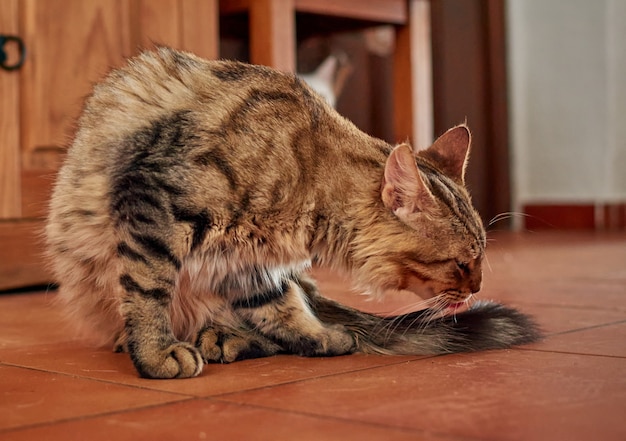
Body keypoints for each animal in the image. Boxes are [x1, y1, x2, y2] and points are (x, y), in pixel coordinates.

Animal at [46, 47, 540, 378]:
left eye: (480, 259)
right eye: (461, 263)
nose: (478, 288)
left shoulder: (247, 264)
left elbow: (283, 310)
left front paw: (321, 337)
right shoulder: (159, 205)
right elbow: (150, 290)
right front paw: (155, 353)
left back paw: (225, 339)